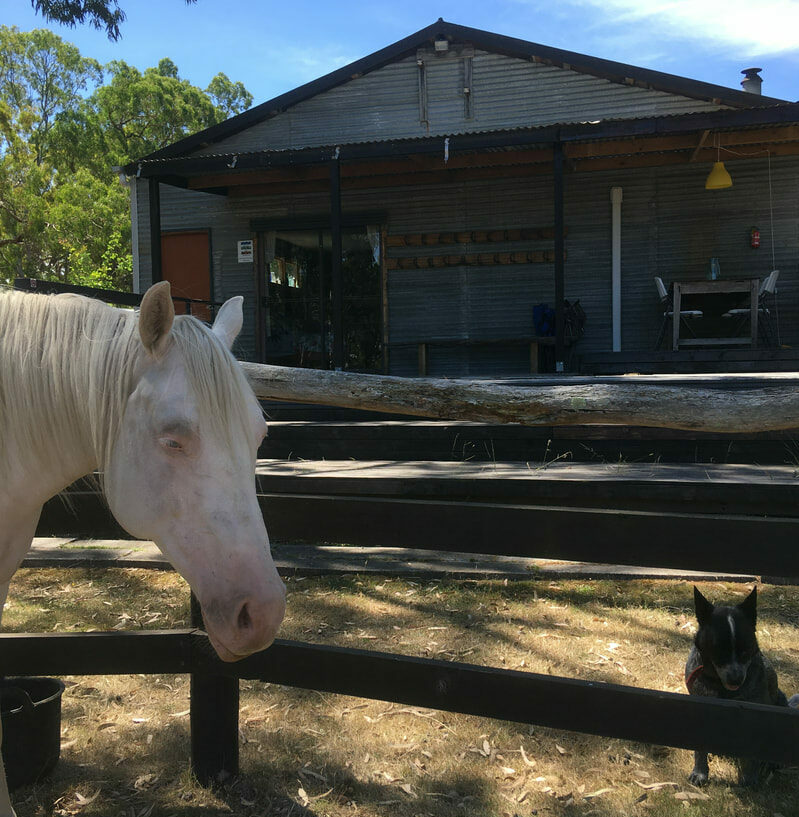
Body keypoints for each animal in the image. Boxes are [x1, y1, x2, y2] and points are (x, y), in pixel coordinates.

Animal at [684, 588, 792, 784]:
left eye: (746, 649)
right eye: (719, 649)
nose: (735, 678)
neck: (721, 687)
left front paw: (749, 777)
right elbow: (700, 748)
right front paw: (700, 772)